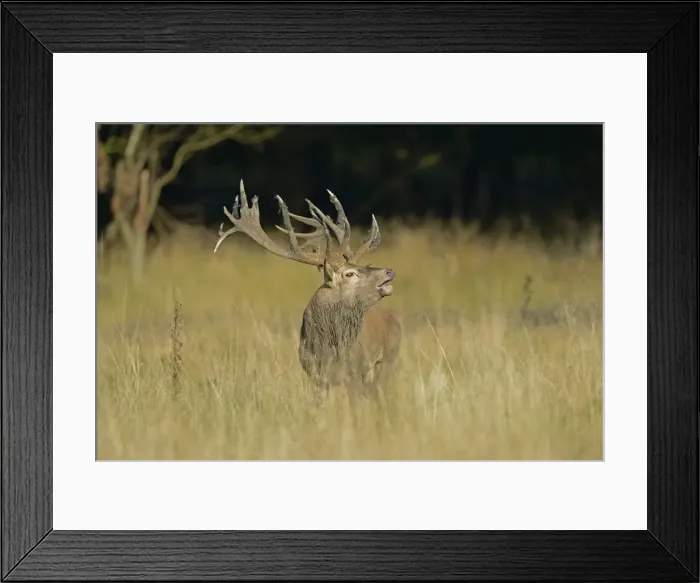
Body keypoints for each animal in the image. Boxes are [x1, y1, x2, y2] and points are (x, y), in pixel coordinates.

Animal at [213, 180, 401, 404]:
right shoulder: (314, 375)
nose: (389, 271)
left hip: (389, 358)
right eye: (350, 274)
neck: (327, 348)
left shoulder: (355, 370)